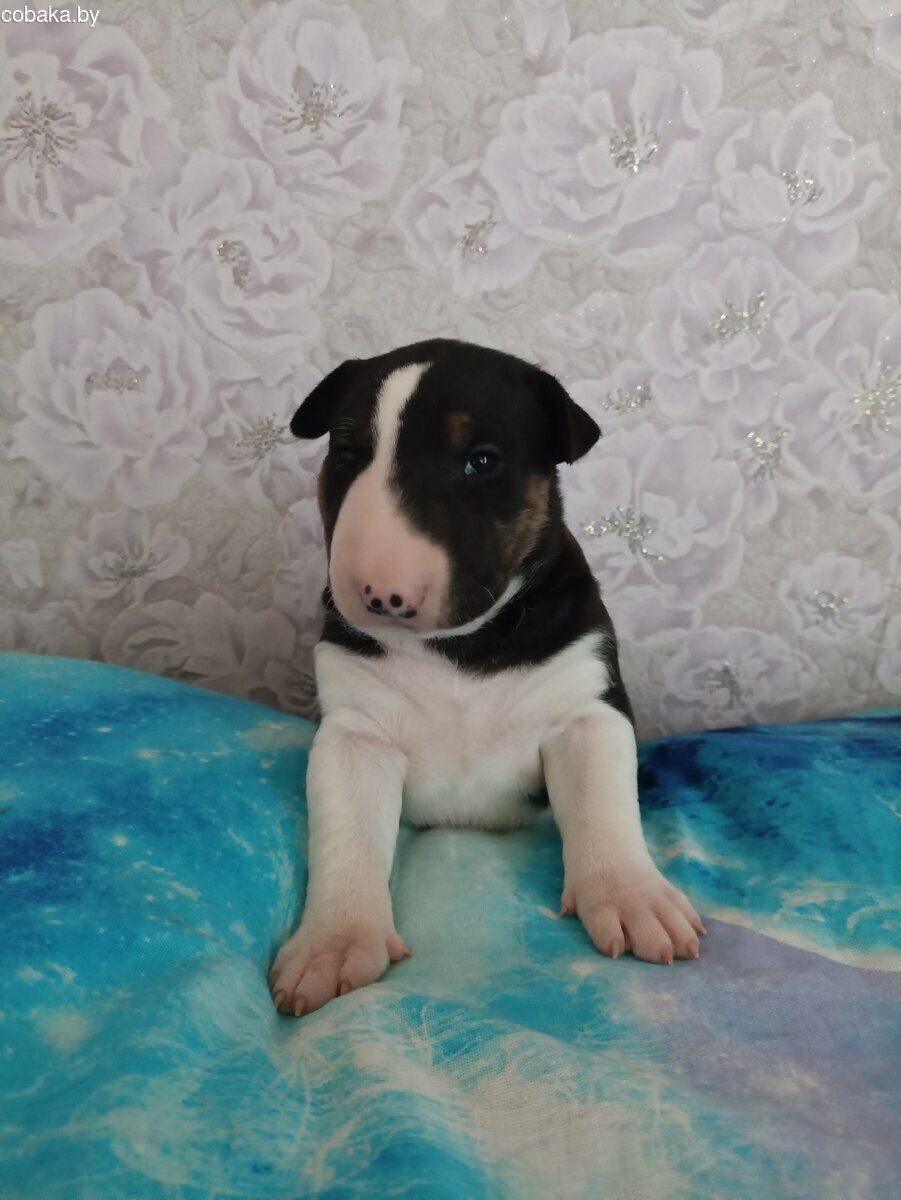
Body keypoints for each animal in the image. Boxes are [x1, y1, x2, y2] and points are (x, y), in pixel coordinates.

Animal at [269, 339, 704, 1017]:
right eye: (346, 453)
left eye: (482, 461)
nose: (381, 594)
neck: (460, 649)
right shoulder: (355, 737)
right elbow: (346, 835)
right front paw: (333, 943)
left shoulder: (586, 710)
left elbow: (604, 805)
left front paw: (634, 898)